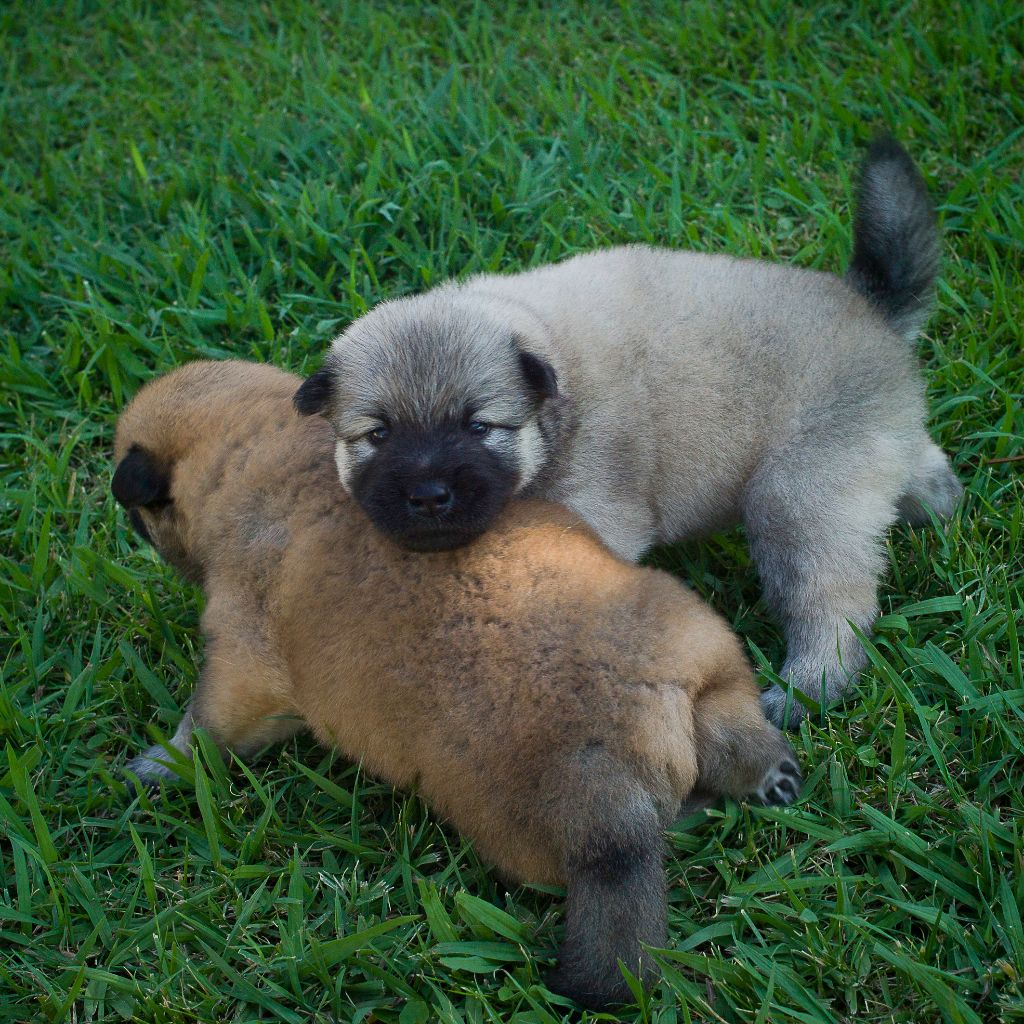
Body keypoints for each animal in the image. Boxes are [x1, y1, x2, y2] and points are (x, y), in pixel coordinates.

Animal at [112, 359, 802, 1010]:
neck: (258, 452)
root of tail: (613, 769)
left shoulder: (239, 663)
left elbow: (204, 731)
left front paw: (152, 770)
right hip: (709, 669)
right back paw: (768, 778)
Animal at [294, 137, 962, 726]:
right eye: (377, 436)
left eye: (479, 426)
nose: (429, 496)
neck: (554, 403)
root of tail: (871, 311)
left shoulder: (595, 516)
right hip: (870, 455)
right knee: (922, 472)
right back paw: (941, 510)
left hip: (799, 496)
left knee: (833, 607)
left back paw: (804, 690)